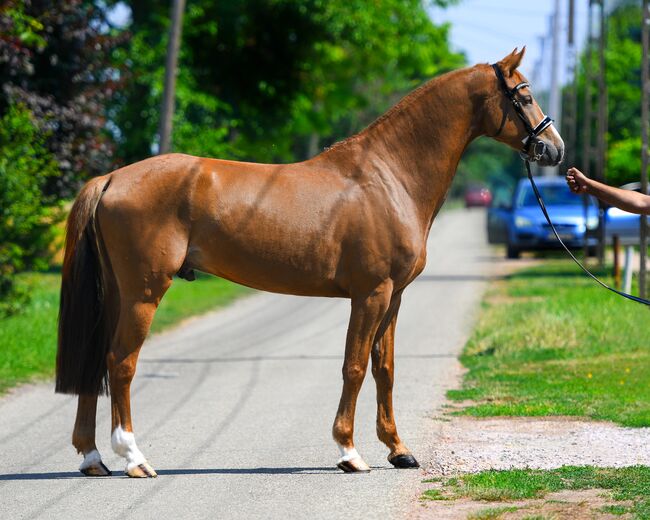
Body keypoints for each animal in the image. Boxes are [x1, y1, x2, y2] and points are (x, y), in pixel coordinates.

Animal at [55, 48, 560, 476]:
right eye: (524, 95)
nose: (555, 149)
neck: (388, 177)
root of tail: (112, 178)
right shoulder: (370, 294)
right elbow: (354, 366)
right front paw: (349, 451)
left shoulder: (394, 297)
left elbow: (385, 368)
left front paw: (399, 450)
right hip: (143, 292)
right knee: (120, 363)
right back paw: (134, 458)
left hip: (117, 293)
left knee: (97, 361)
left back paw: (93, 457)